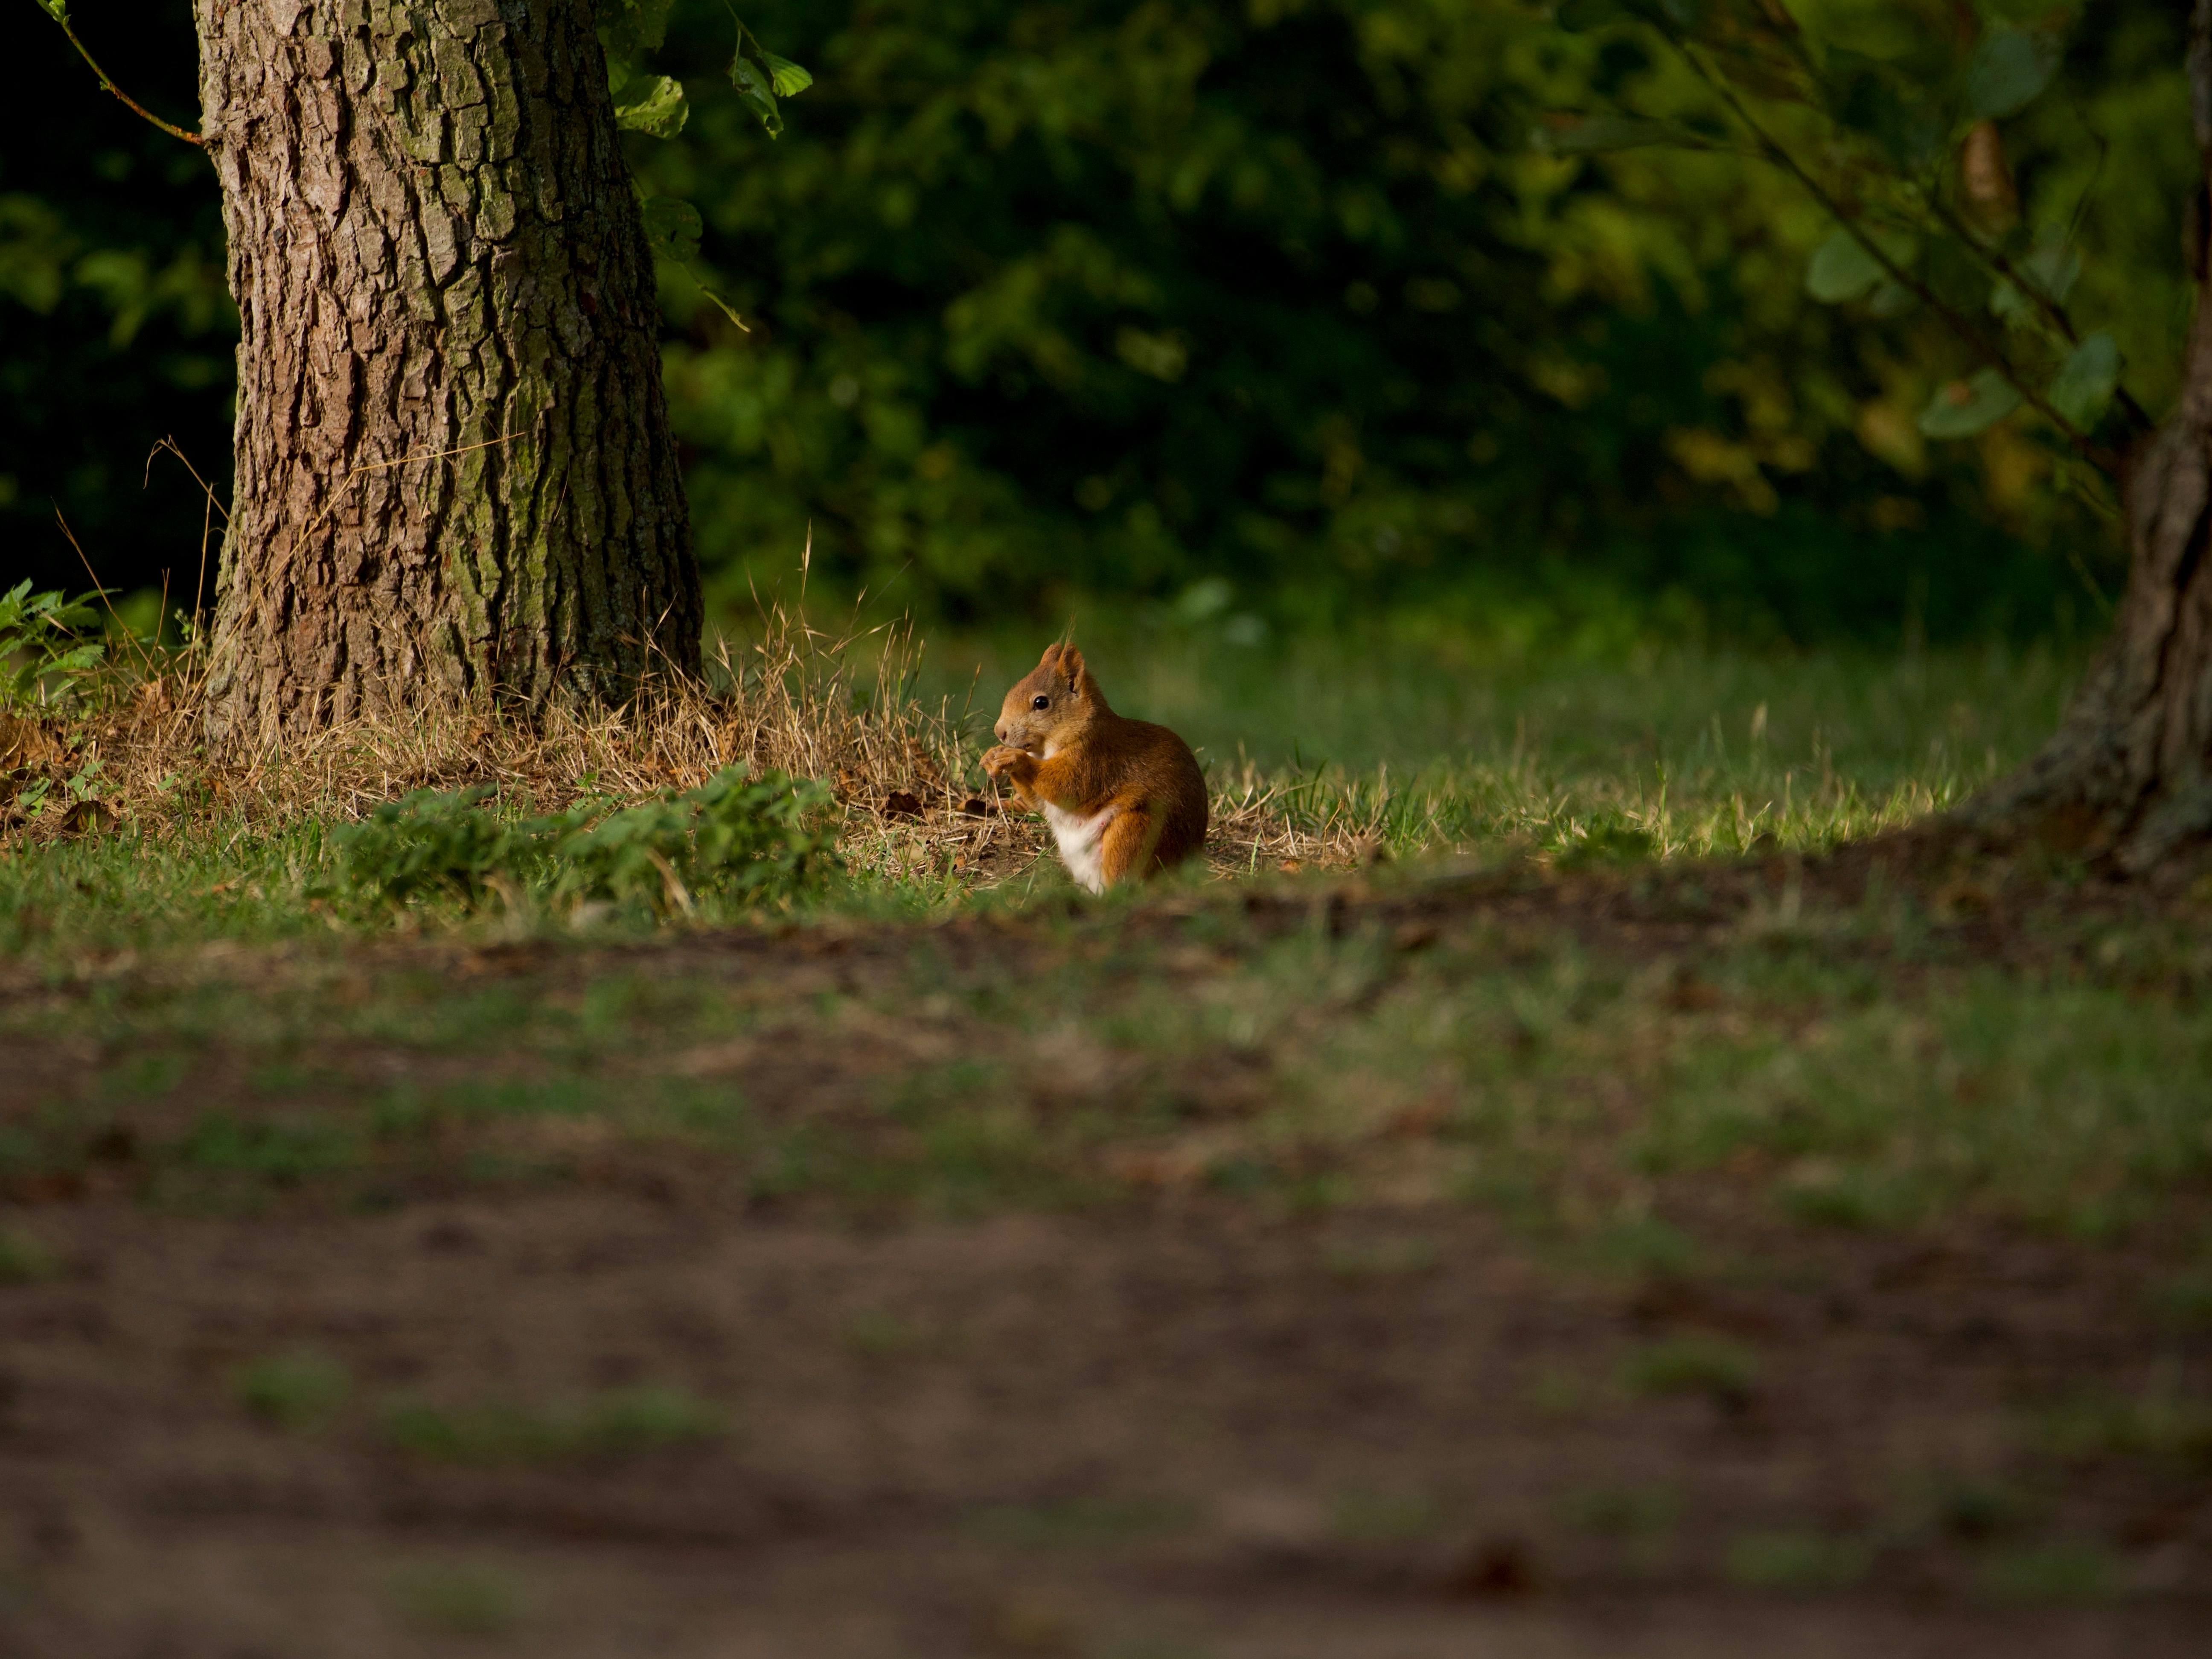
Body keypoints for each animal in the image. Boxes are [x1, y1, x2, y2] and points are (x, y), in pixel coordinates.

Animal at [981, 643, 1209, 892]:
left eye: (1041, 703)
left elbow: (1068, 786)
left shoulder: (1094, 758)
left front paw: (1015, 758)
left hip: (1134, 832)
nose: (999, 732)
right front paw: (992, 755)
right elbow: (1038, 801)